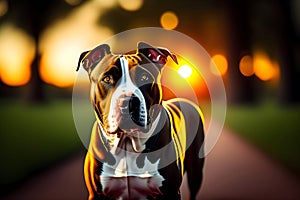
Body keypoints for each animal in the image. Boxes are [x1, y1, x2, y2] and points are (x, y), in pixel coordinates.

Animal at [76, 41, 205, 199]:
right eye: (107, 79)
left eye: (144, 77)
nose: (126, 102)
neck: (127, 144)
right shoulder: (96, 194)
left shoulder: (171, 192)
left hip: (195, 171)